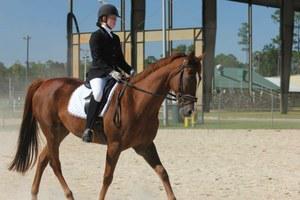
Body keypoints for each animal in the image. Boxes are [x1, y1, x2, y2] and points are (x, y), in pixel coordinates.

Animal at [8, 52, 202, 199]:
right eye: (189, 75)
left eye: (199, 78)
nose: (189, 111)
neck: (136, 101)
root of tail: (44, 82)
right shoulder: (114, 146)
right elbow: (107, 177)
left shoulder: (145, 145)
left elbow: (163, 172)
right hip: (51, 131)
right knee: (54, 164)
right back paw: (69, 194)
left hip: (60, 132)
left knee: (42, 159)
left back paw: (34, 194)